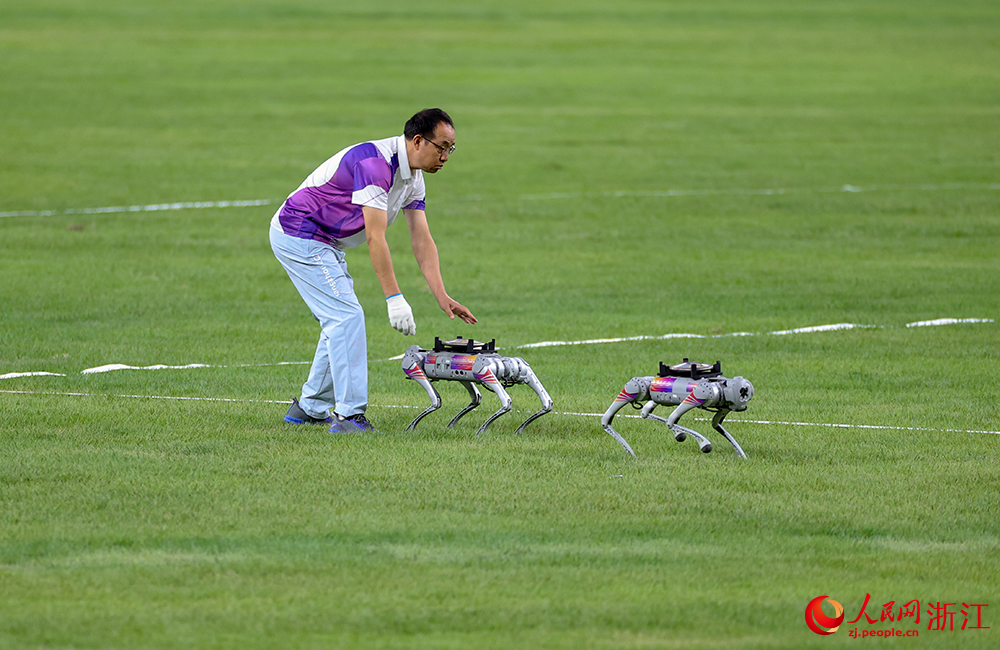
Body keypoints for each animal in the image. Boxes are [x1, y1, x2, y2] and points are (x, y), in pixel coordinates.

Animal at [596, 360, 752, 456]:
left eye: (745, 391)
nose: (744, 391)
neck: (720, 388)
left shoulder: (723, 408)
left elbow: (716, 424)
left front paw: (742, 455)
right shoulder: (699, 394)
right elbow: (671, 421)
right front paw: (704, 444)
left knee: (644, 412)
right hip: (636, 388)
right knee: (606, 420)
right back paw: (630, 453)